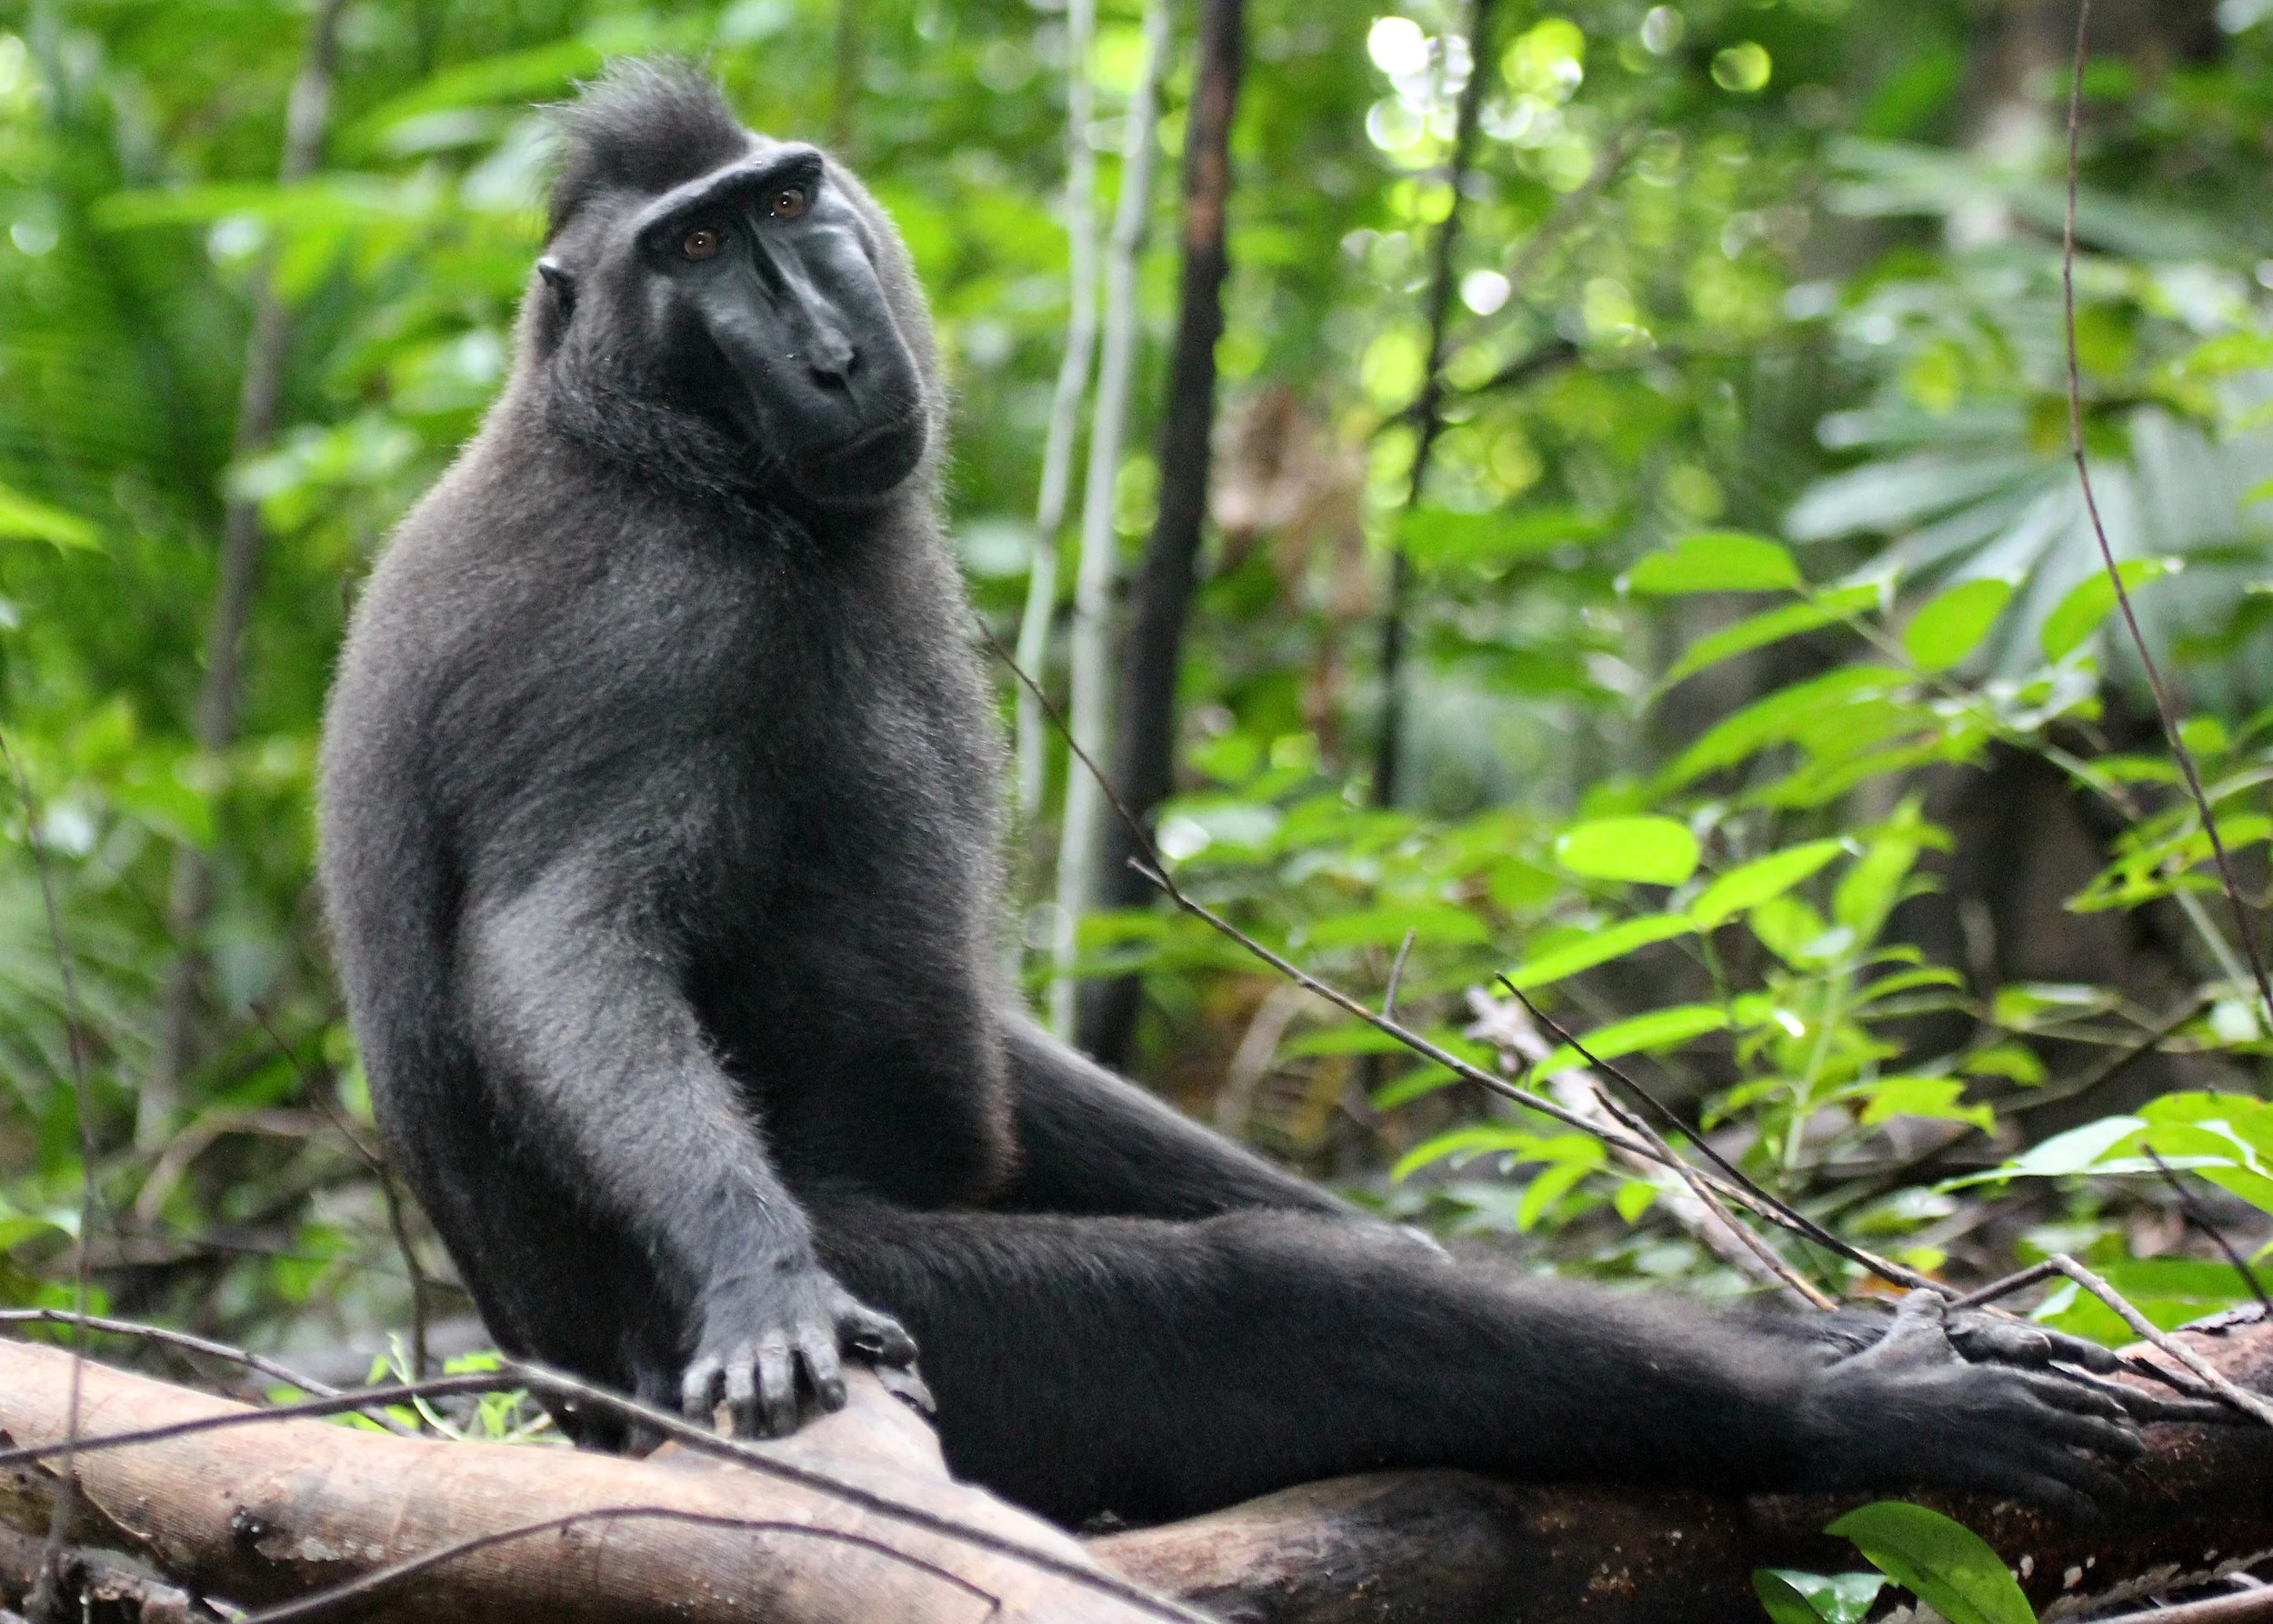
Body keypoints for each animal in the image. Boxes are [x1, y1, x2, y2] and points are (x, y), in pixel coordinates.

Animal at [318, 60, 2160, 1531]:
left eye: (785, 203)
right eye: (692, 255)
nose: (831, 353)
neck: (662, 456)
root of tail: (576, 1394)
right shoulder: (649, 631)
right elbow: (565, 941)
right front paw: (757, 1271)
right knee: (1271, 1311)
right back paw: (1853, 1407)